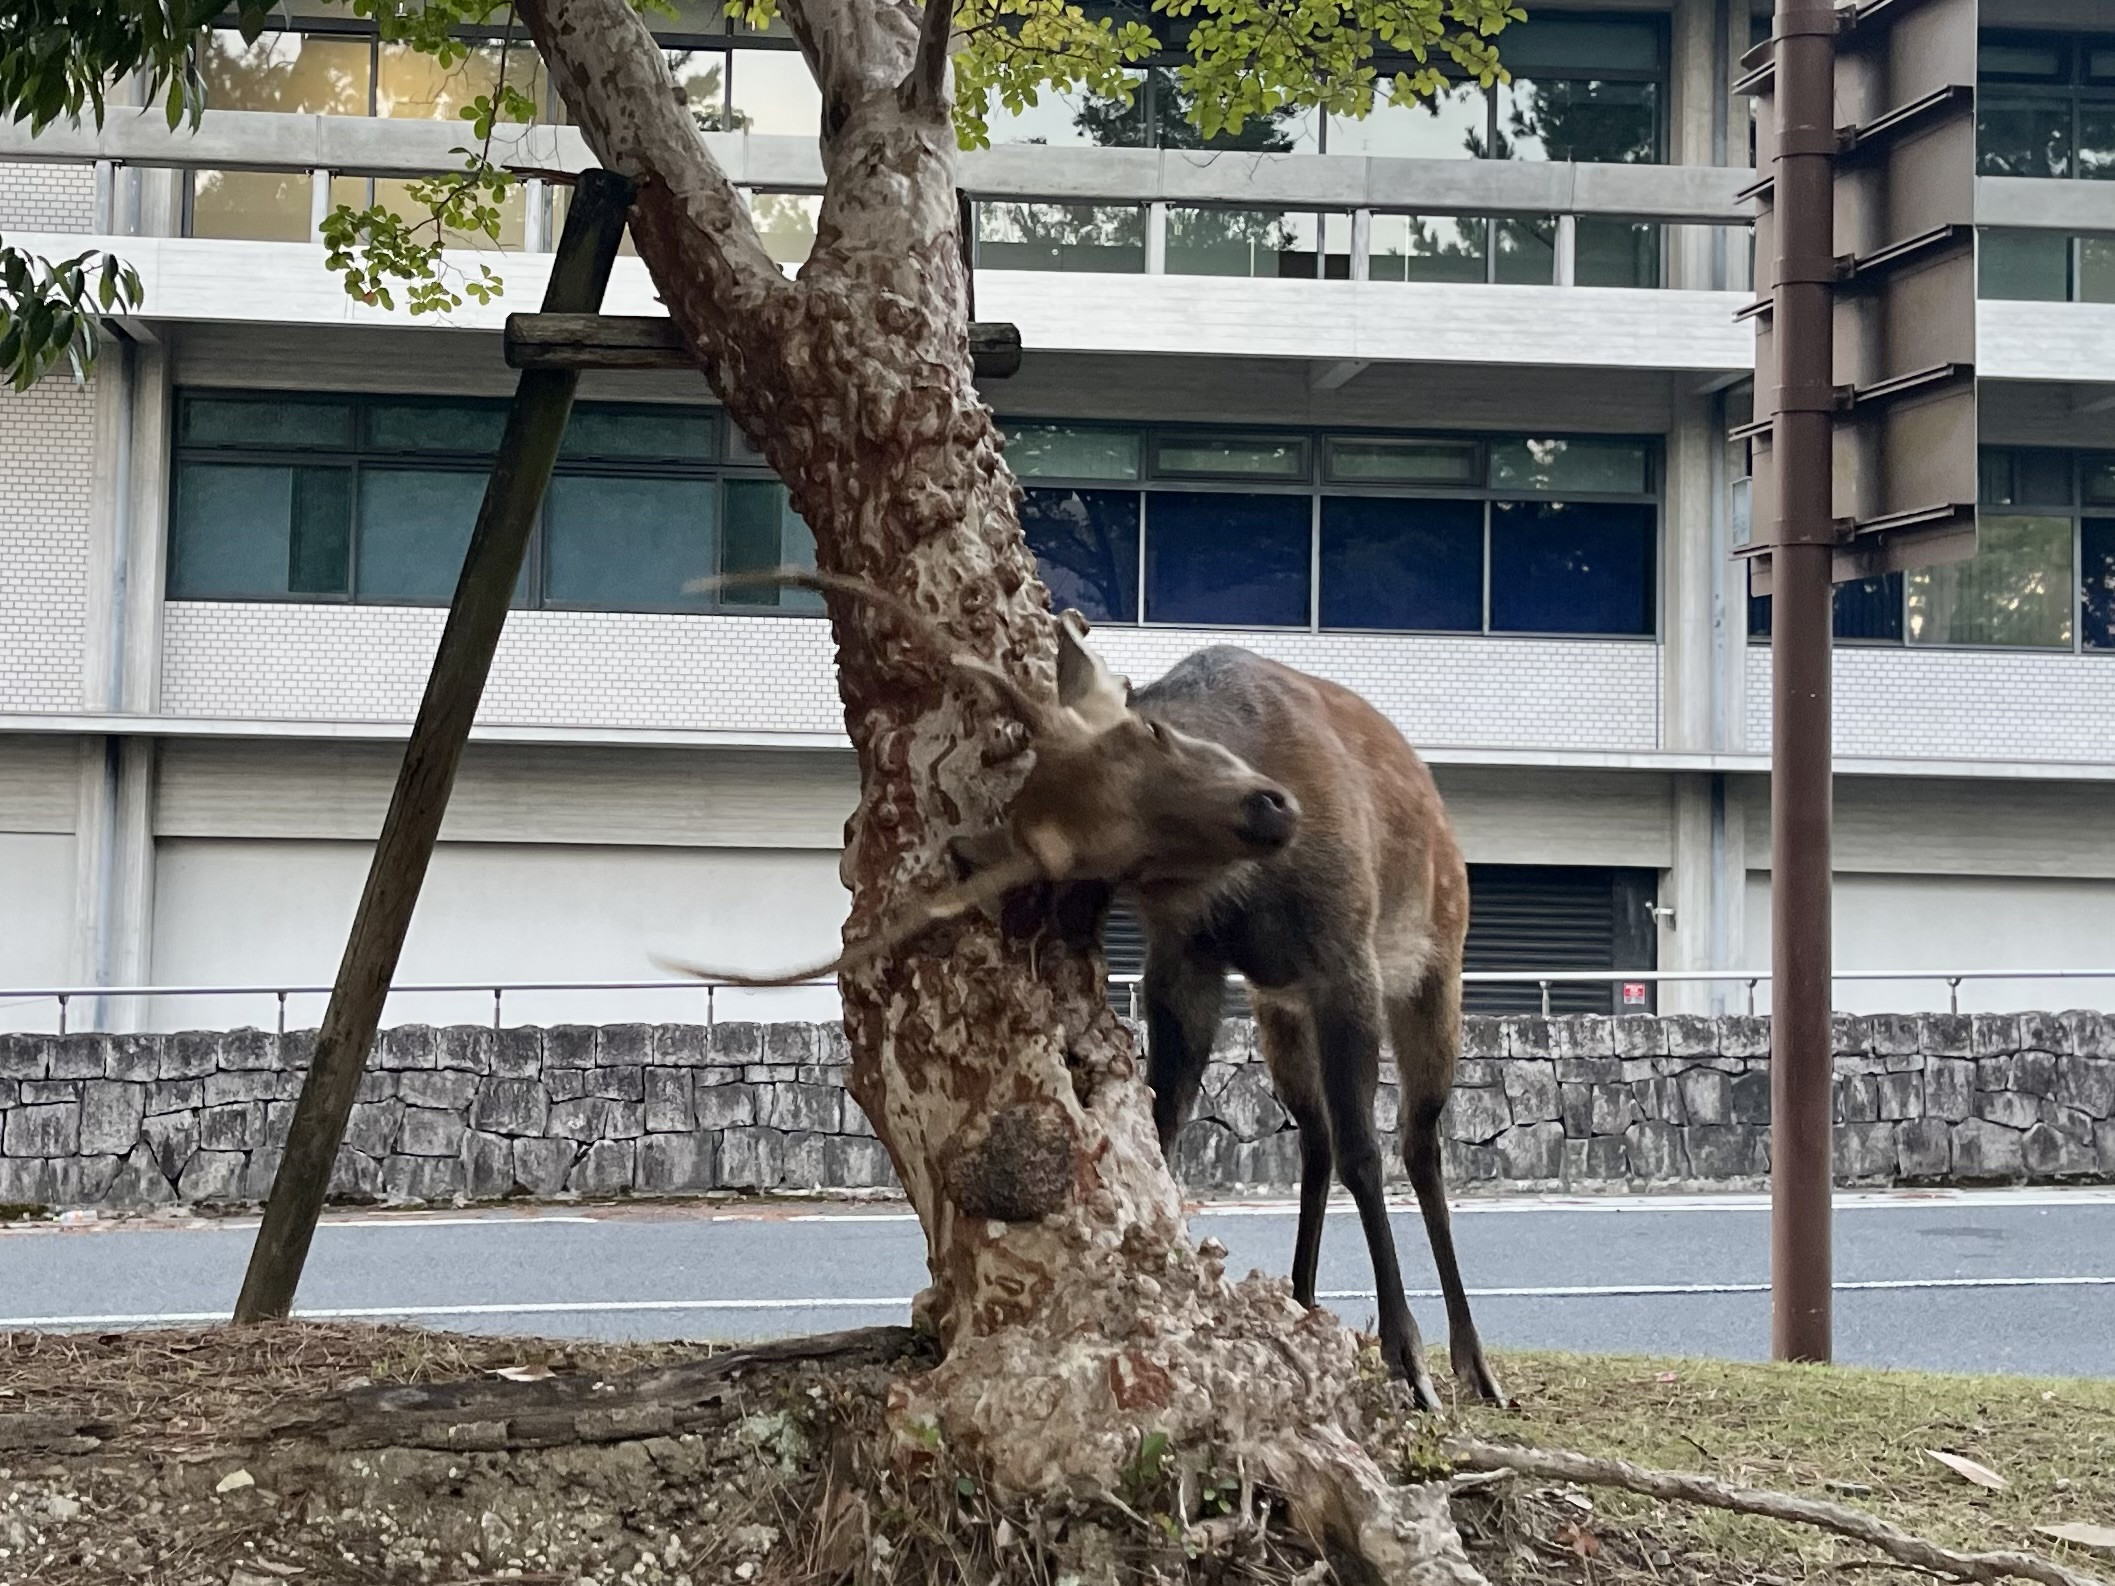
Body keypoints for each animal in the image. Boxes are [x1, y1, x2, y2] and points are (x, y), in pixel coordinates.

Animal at [664, 569, 1497, 1409]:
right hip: (1278, 1010)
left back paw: (1472, 1362)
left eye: (1150, 732)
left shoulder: (1344, 955)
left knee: (1418, 1141)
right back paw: (1302, 1296)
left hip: (1434, 969)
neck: (1249, 894)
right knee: (1316, 1137)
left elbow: (1368, 1152)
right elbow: (1167, 1122)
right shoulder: (1188, 959)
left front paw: (1406, 1358)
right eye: (1126, 859)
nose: (1270, 807)